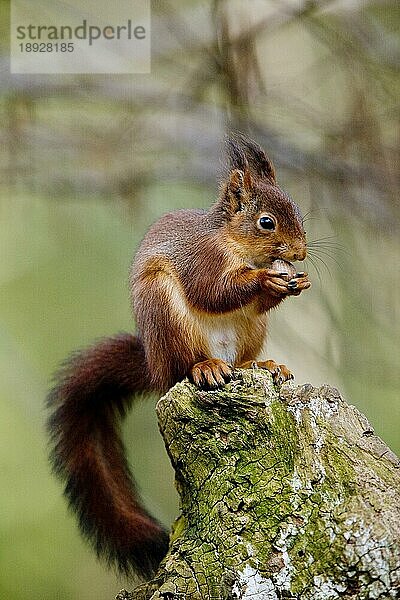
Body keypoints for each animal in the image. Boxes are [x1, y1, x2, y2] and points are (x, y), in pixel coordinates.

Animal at [46, 134, 310, 580]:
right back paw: (205, 368)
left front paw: (294, 283)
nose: (302, 252)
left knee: (241, 359)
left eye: (295, 209)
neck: (234, 244)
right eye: (267, 222)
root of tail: (154, 364)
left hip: (251, 332)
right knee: (185, 367)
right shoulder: (200, 259)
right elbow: (213, 291)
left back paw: (260, 365)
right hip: (166, 314)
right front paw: (265, 279)